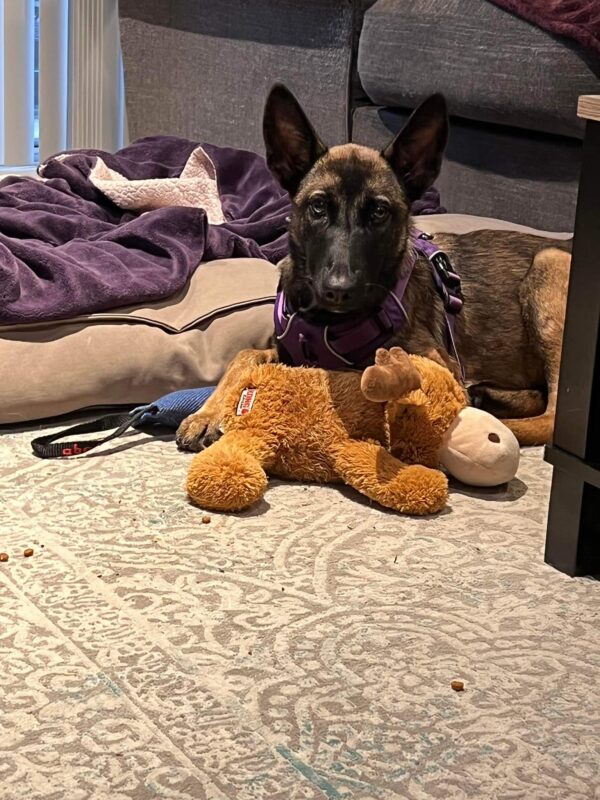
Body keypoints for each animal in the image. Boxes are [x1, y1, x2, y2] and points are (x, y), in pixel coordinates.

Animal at [177, 86, 572, 454]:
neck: (325, 324)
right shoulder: (284, 347)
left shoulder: (435, 362)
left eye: (380, 212)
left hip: (549, 264)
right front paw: (206, 413)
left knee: (551, 420)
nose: (338, 290)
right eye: (318, 207)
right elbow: (245, 354)